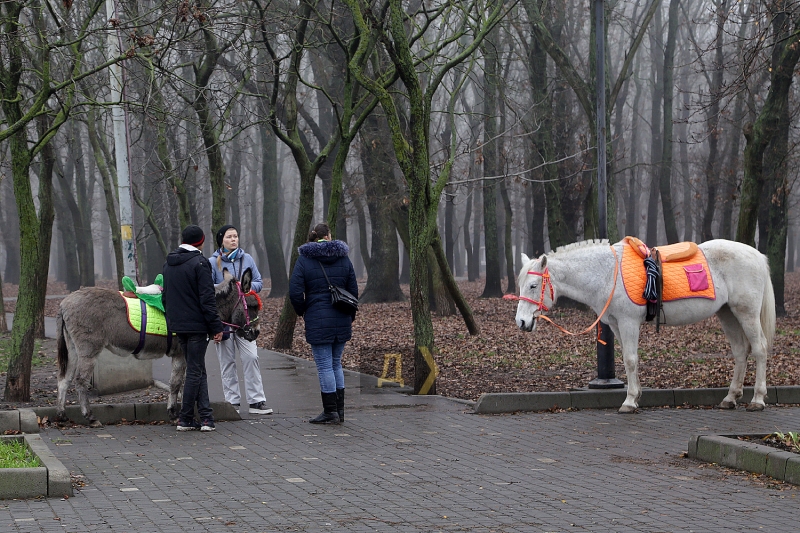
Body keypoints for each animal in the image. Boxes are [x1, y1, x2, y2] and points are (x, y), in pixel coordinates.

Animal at [512, 239, 776, 414]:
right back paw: (730, 397)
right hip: (728, 314)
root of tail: (756, 255)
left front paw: (629, 401)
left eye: (533, 285)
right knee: (740, 352)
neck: (607, 273)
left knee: (760, 349)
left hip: (746, 314)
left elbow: (630, 360)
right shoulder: (616, 325)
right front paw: (636, 395)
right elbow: (628, 360)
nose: (521, 322)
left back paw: (758, 399)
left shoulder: (628, 323)